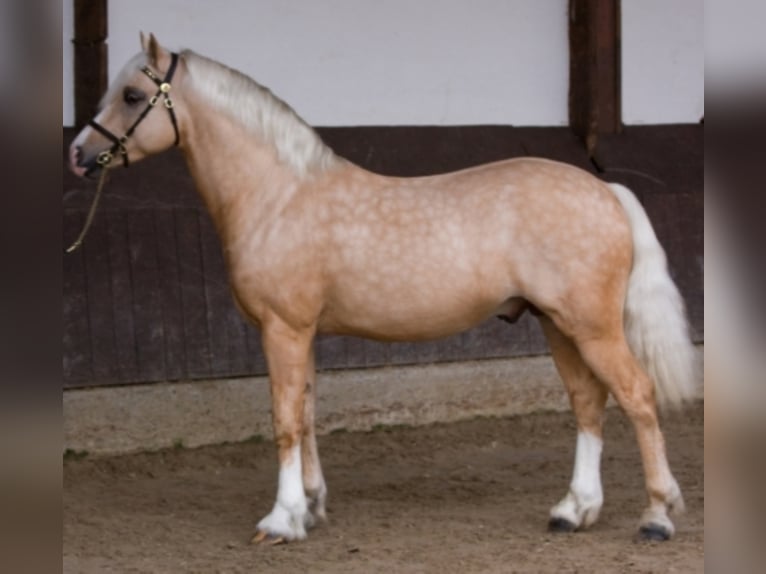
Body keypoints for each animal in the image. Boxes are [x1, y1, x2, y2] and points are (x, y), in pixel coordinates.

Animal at [68, 33, 697, 544]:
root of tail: (605, 189)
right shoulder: (302, 331)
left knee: (637, 396)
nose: (78, 154)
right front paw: (310, 507)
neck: (279, 194)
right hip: (557, 323)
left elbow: (284, 419)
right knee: (588, 402)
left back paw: (656, 517)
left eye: (131, 95)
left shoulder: (282, 329)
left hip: (591, 327)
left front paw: (281, 520)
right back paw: (574, 510)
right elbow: (307, 411)